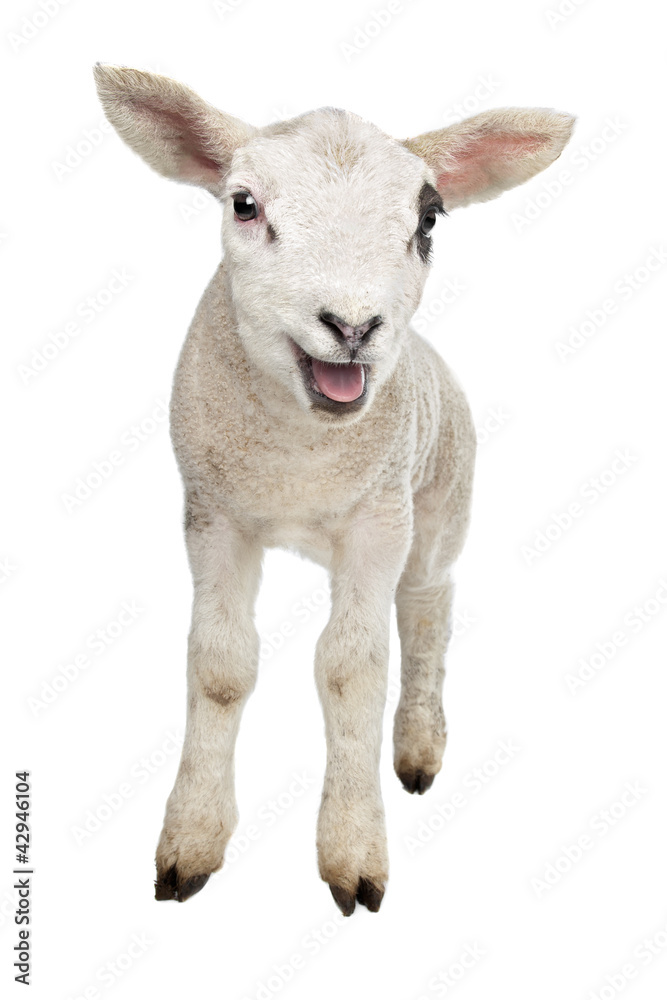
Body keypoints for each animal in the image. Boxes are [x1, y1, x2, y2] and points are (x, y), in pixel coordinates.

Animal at [94, 64, 574, 916]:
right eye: (243, 204)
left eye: (428, 219)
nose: (352, 327)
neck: (300, 447)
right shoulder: (212, 514)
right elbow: (219, 665)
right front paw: (191, 840)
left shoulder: (377, 523)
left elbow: (353, 669)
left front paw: (352, 851)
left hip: (437, 506)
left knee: (426, 611)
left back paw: (417, 745)